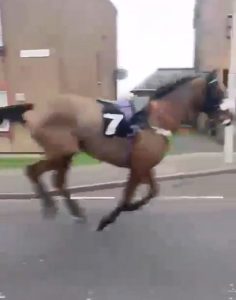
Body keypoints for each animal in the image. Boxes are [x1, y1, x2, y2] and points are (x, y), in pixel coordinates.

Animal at [0, 69, 232, 231]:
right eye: (219, 91)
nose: (230, 116)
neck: (154, 120)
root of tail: (35, 110)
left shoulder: (144, 166)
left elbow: (153, 191)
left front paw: (132, 207)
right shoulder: (137, 168)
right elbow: (127, 196)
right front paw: (107, 219)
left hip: (65, 154)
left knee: (55, 180)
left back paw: (73, 211)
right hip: (61, 151)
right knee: (34, 170)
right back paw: (50, 206)